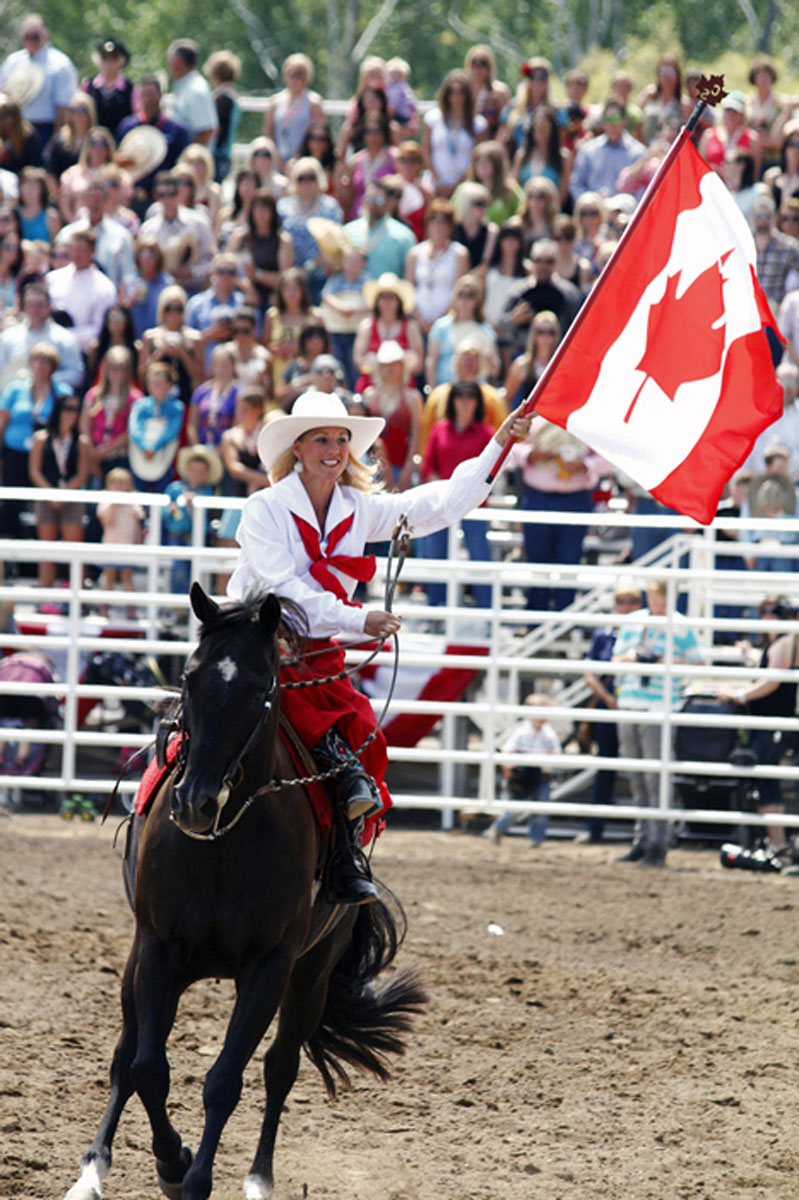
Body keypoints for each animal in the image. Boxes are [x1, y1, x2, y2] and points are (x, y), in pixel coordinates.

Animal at [63, 585, 422, 1200]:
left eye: (260, 689)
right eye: (188, 677)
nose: (195, 801)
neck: (221, 844)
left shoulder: (270, 965)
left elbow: (226, 1079)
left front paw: (194, 1177)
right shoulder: (158, 948)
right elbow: (147, 1069)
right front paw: (171, 1163)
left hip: (311, 975)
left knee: (280, 1068)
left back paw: (259, 1179)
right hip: (147, 964)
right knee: (125, 1055)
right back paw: (92, 1170)